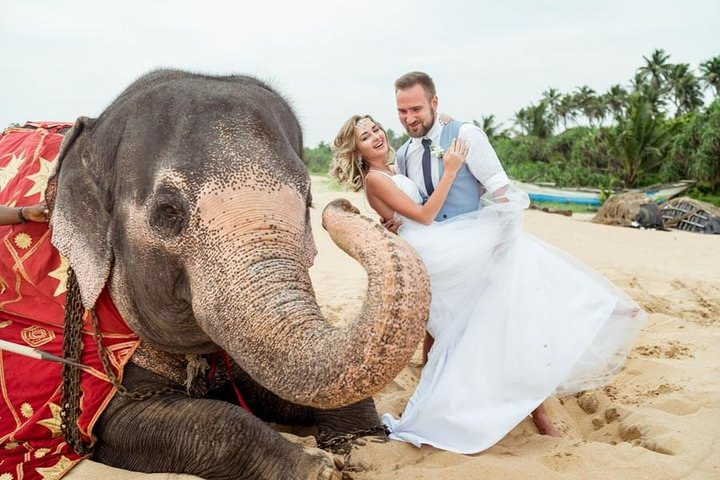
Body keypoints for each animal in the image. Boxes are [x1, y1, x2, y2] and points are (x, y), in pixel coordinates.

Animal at [46, 70, 434, 480]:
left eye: (308, 199)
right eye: (167, 211)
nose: (345, 203)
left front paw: (366, 446)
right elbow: (180, 422)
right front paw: (319, 467)